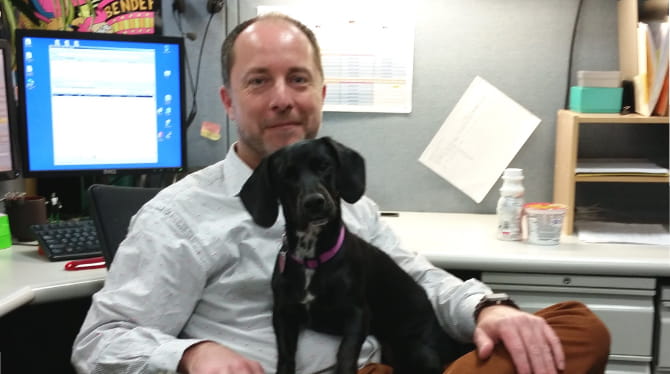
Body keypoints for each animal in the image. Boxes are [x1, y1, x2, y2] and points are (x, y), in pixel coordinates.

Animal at [236, 137, 462, 374]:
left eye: (324, 165)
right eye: (286, 175)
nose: (314, 202)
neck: (311, 257)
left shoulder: (358, 313)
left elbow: (345, 353)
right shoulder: (283, 314)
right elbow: (286, 356)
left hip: (419, 351)